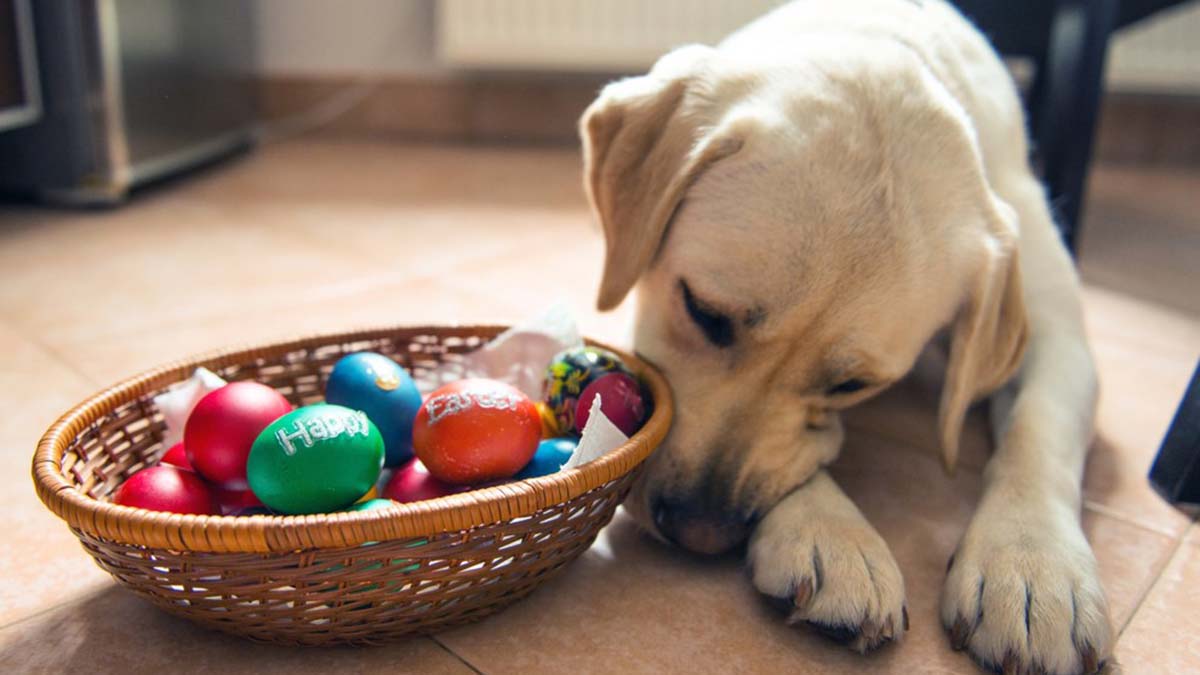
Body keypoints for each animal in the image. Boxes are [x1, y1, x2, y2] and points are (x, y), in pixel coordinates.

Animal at [576, 1, 1108, 672]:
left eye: (852, 384)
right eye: (704, 312)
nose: (701, 530)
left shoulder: (1060, 334)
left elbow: (1039, 426)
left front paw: (1035, 566)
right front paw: (833, 534)